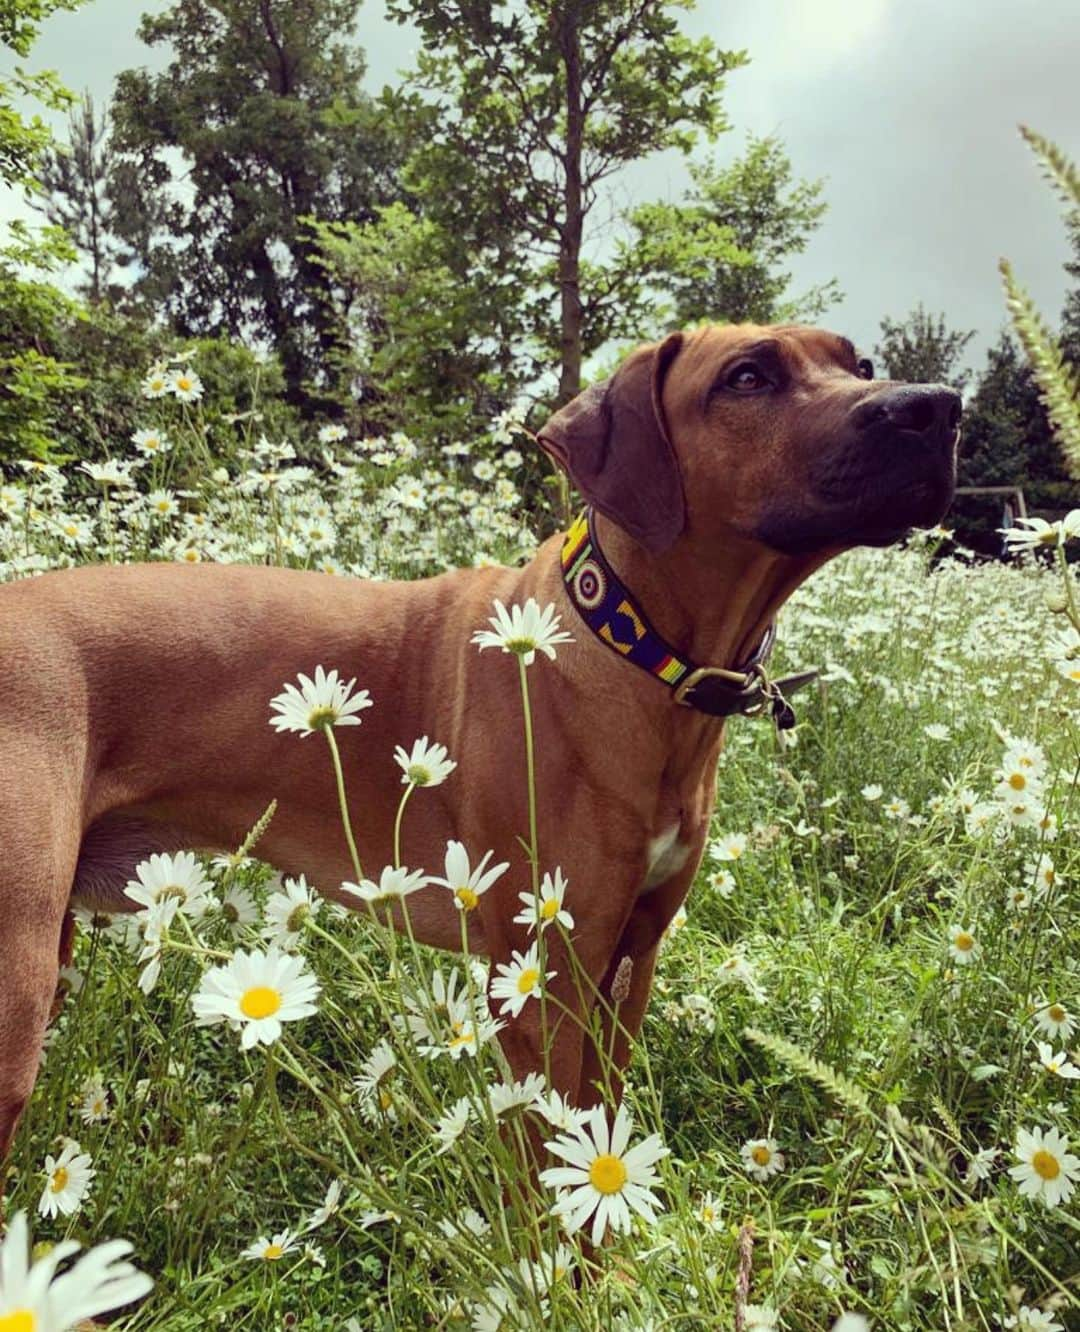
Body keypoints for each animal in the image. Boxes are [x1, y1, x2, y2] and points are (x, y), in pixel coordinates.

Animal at [0, 322, 964, 1156]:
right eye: (748, 377)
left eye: (860, 362)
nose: (936, 407)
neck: (632, 644)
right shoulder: (545, 972)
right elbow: (550, 1165)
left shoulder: (632, 960)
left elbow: (599, 1131)